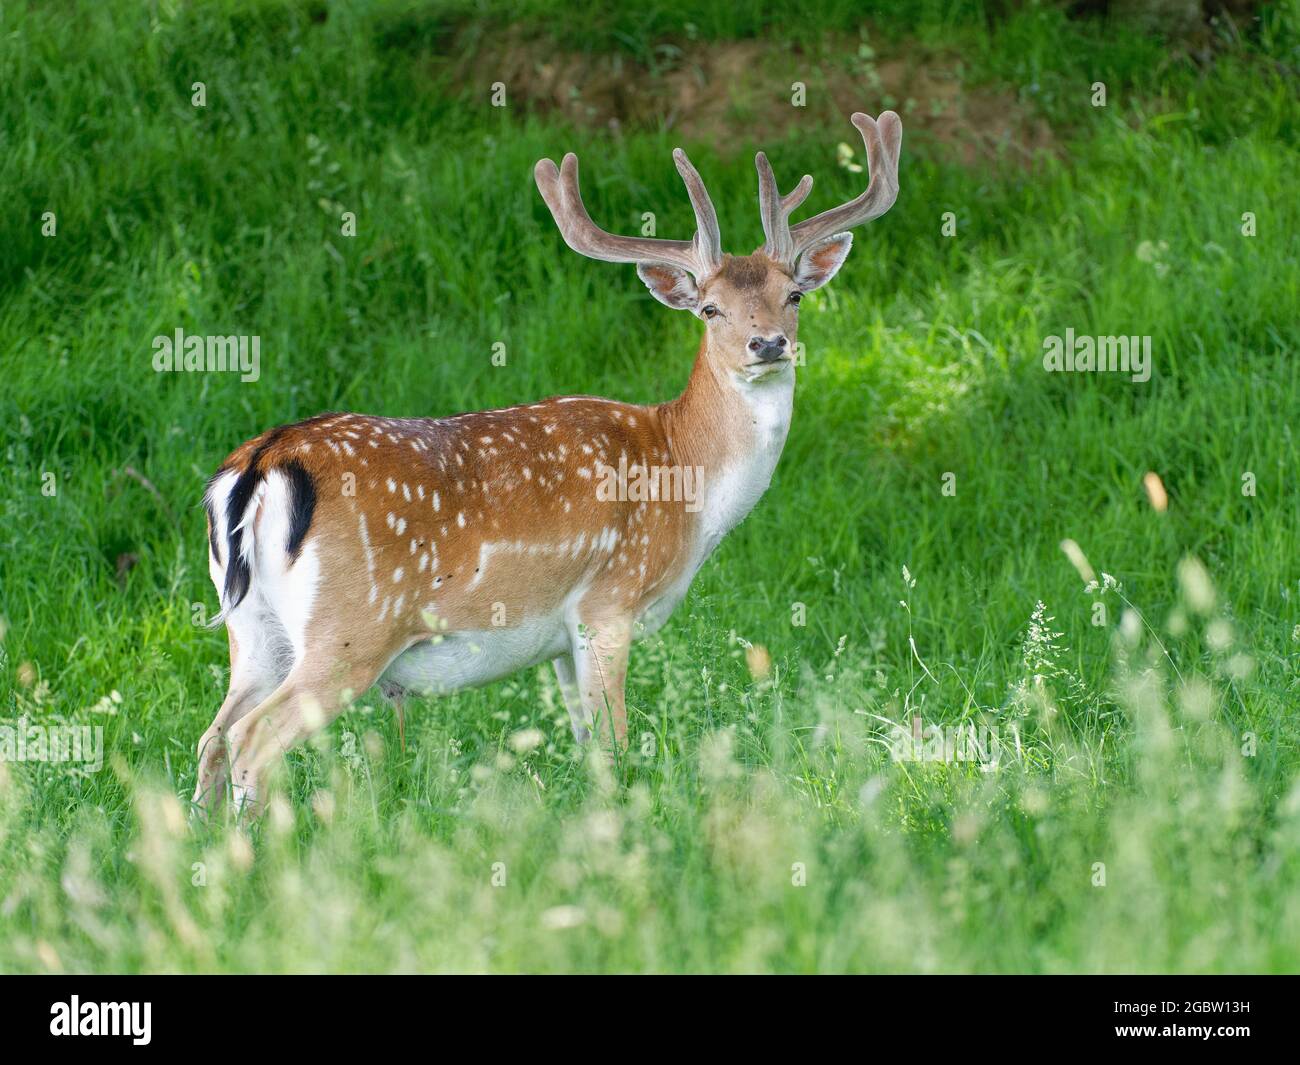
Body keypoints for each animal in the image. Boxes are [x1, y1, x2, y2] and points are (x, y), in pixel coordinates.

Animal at [195, 110, 904, 816]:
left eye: (795, 296)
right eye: (710, 308)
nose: (768, 343)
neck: (686, 478)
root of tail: (261, 462)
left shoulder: (561, 638)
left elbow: (587, 743)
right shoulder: (608, 602)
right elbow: (616, 743)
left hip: (253, 632)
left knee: (213, 737)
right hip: (350, 627)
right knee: (254, 738)